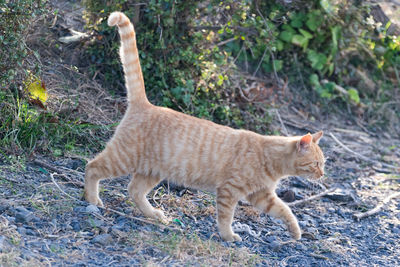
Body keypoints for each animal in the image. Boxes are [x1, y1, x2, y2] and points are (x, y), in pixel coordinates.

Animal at [84, 12, 324, 243]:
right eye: (316, 164)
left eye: (322, 164)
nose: (322, 175)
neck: (270, 158)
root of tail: (146, 103)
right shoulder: (229, 191)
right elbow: (226, 217)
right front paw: (228, 236)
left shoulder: (262, 196)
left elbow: (285, 210)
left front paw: (295, 232)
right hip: (123, 158)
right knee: (92, 167)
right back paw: (93, 199)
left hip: (151, 170)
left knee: (134, 190)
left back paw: (153, 215)